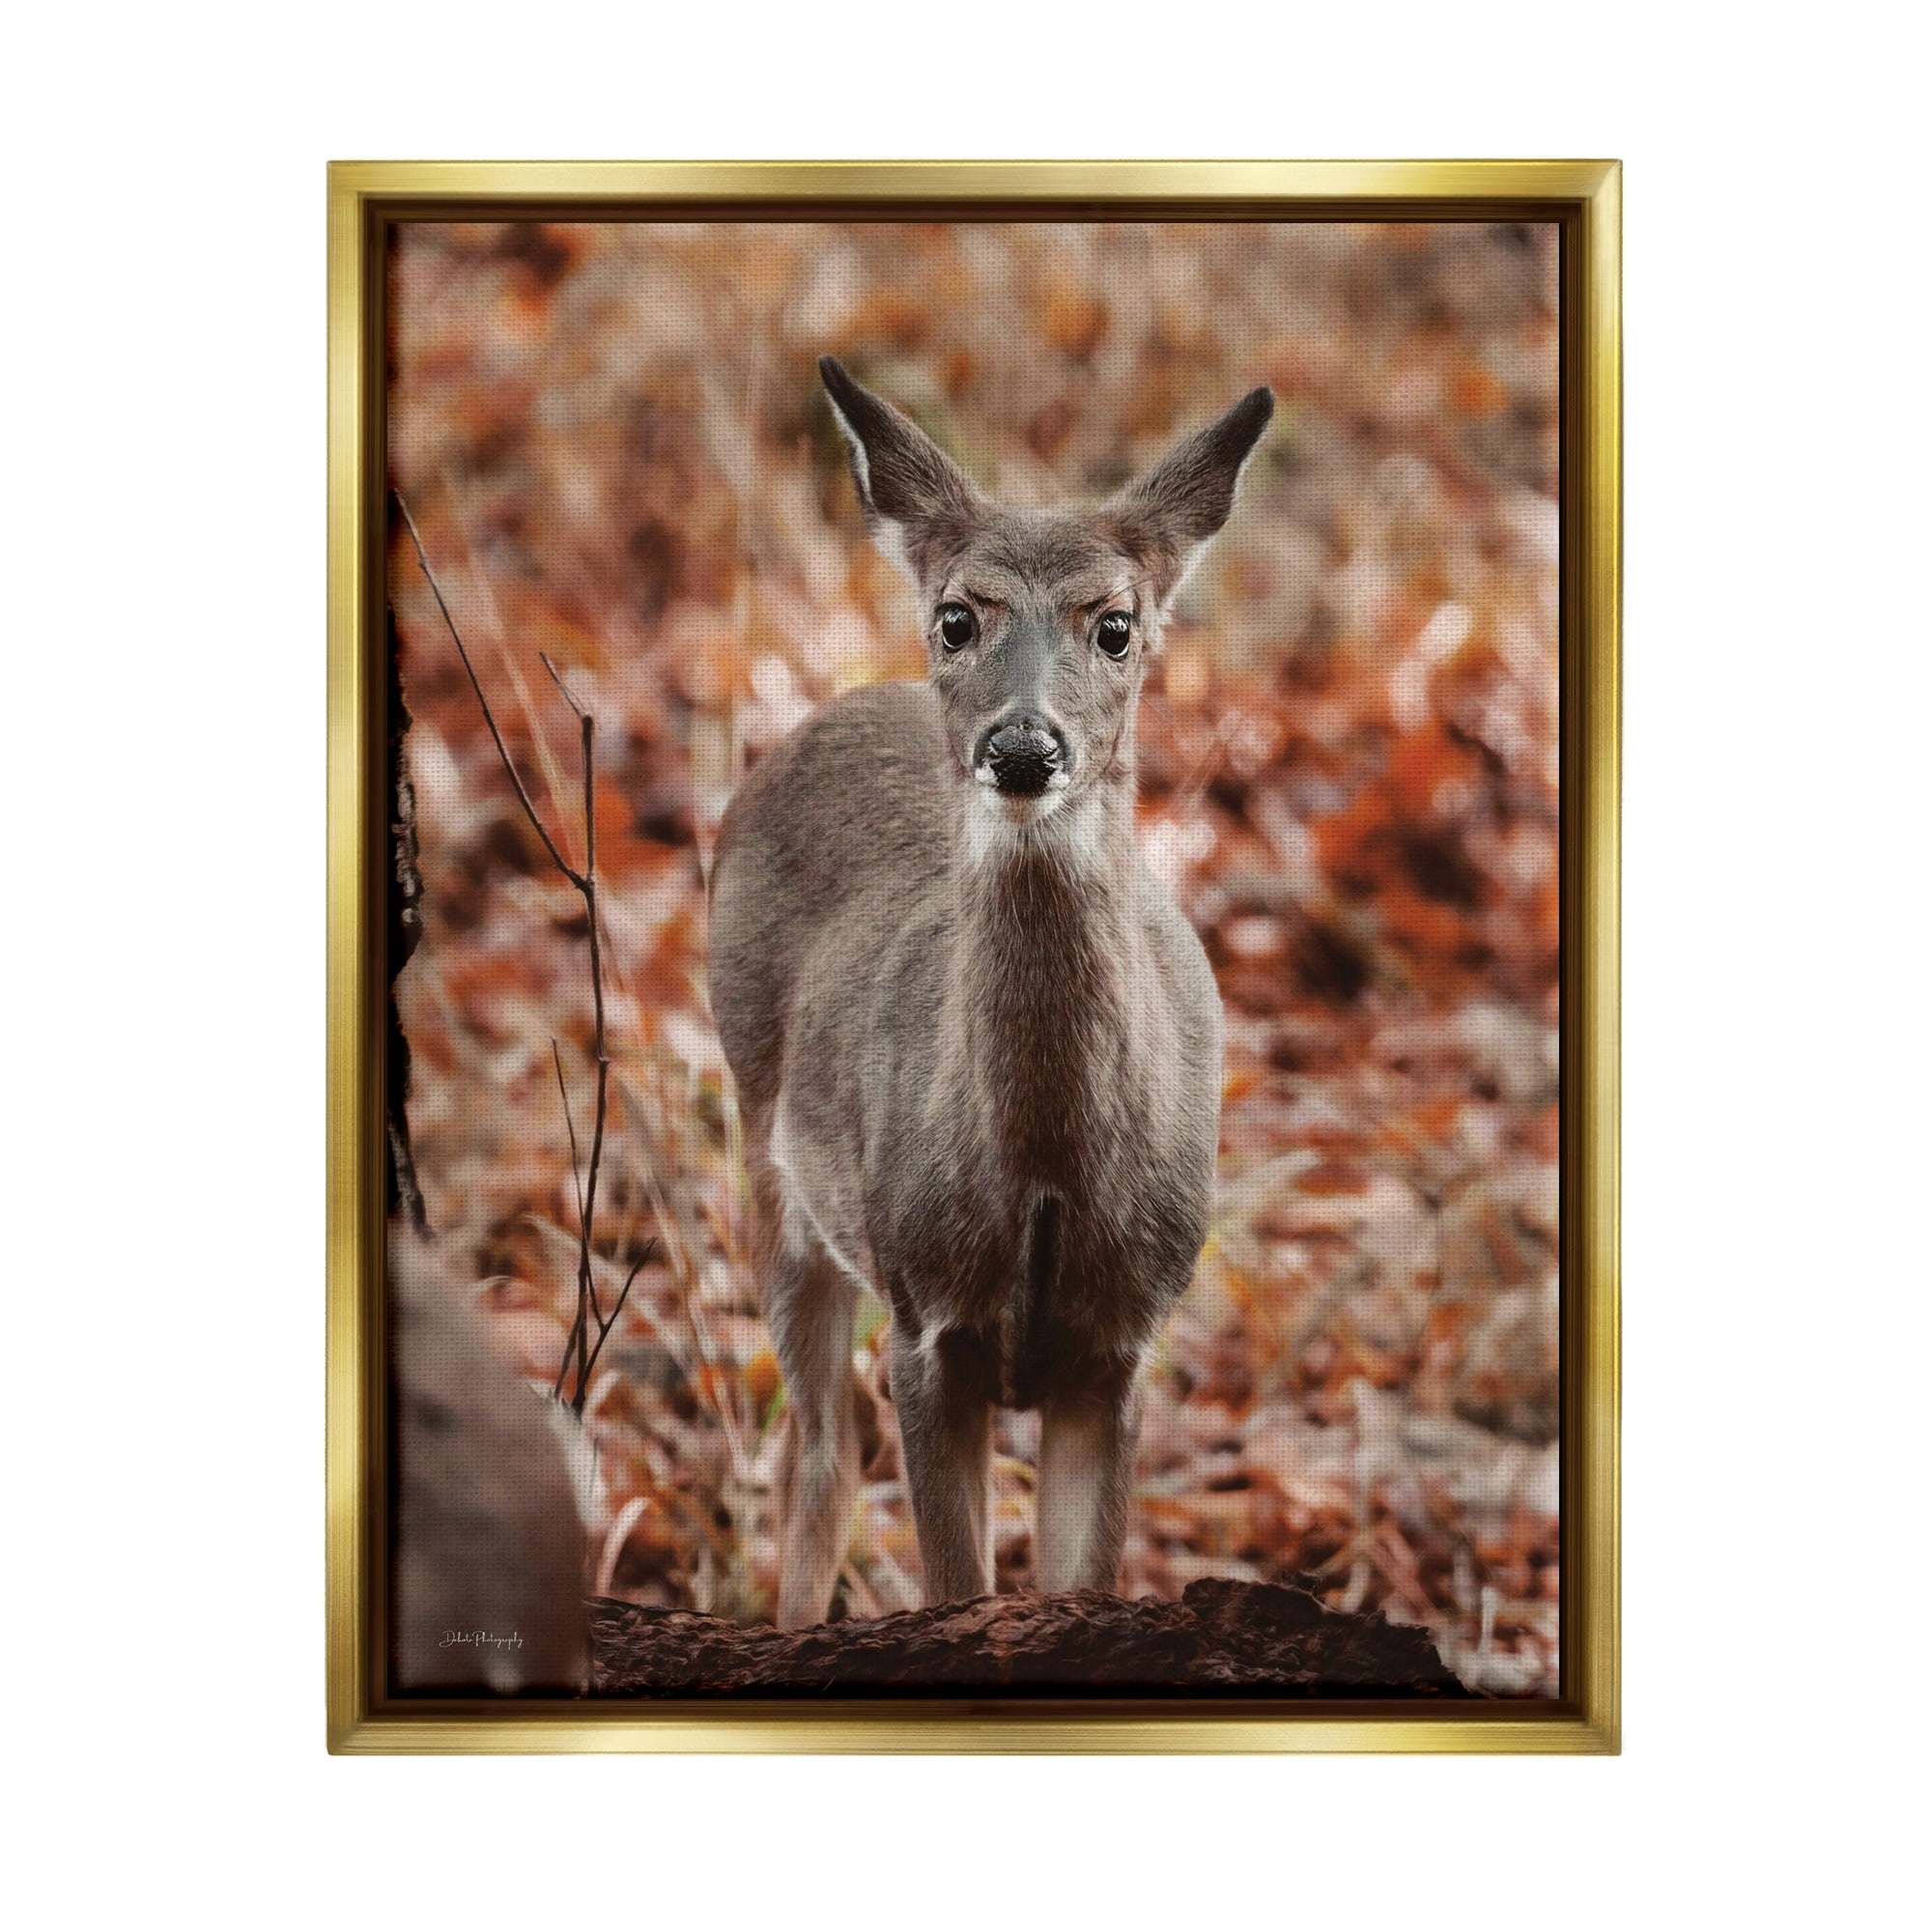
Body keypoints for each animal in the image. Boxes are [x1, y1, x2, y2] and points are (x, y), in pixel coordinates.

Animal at [708, 356, 1274, 1628]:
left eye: (1114, 625)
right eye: (957, 617)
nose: (1022, 747)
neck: (1045, 1170)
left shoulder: (1120, 1342)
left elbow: (1078, 1579)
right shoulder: (929, 1318)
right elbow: (954, 1582)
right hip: (772, 1164)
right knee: (821, 1448)